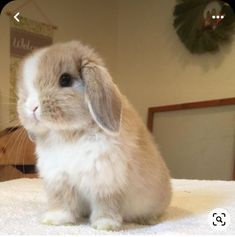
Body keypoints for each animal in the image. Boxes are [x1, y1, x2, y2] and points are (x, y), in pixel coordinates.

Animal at [16, 40, 171, 231]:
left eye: (65, 79)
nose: (32, 107)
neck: (69, 134)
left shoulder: (105, 181)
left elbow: (106, 204)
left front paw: (105, 225)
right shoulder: (59, 180)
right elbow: (62, 202)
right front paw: (55, 220)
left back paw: (147, 220)